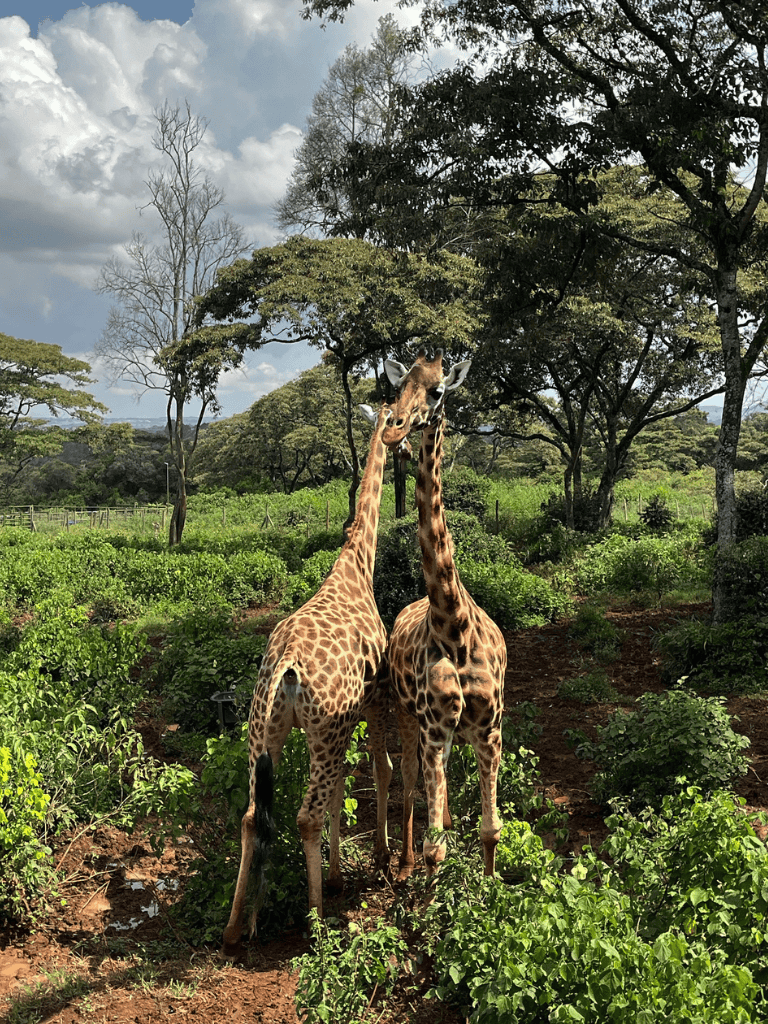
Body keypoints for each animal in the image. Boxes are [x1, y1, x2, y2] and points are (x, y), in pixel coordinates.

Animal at [222, 403, 393, 956]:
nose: (402, 435)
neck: (357, 565)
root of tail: (287, 666)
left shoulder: (337, 726)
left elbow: (341, 791)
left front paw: (339, 875)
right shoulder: (372, 701)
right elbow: (376, 773)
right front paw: (359, 869)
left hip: (263, 730)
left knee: (253, 816)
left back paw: (235, 928)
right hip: (322, 731)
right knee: (305, 815)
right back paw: (315, 924)